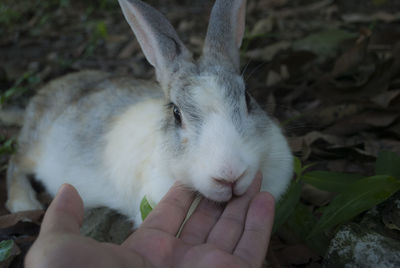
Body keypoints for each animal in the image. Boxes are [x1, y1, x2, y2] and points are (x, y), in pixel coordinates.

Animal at [5, 0, 294, 226]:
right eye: (176, 113)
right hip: (35, 147)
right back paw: (23, 204)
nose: (230, 175)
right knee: (14, 163)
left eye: (247, 98)